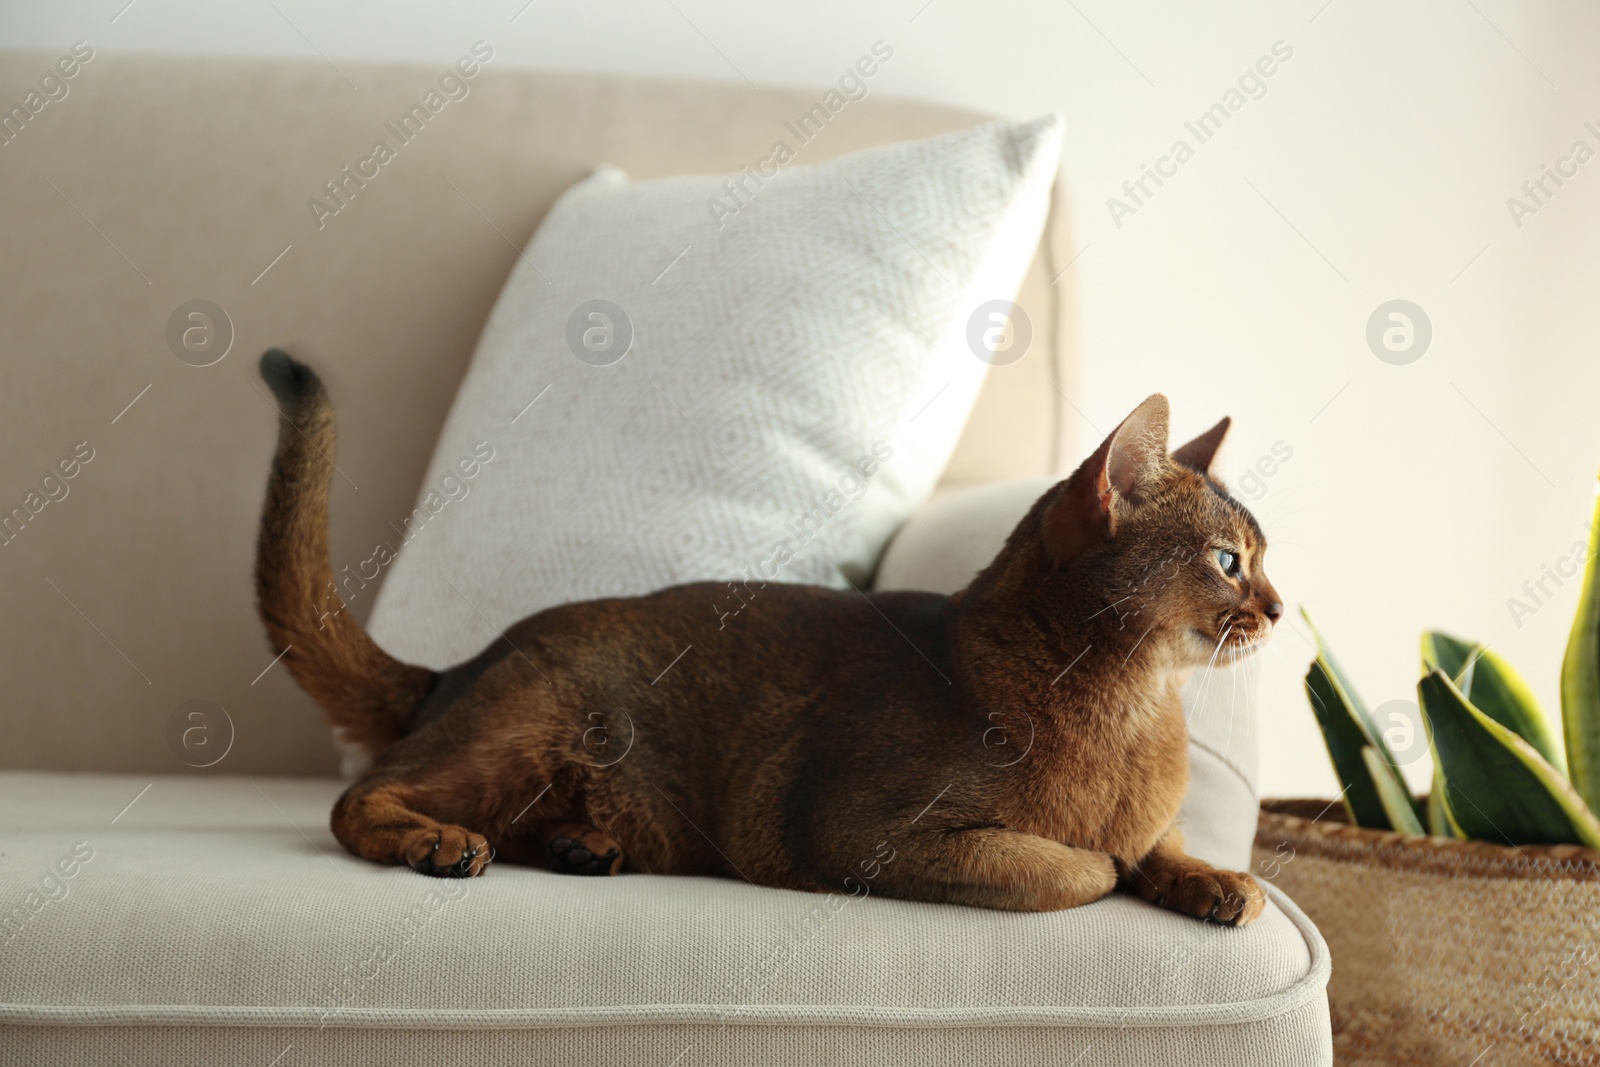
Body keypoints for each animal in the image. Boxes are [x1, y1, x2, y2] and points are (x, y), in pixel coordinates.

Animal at [259, 350, 1286, 927]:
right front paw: (1110, 861)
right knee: (356, 799)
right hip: (525, 724)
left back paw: (583, 845)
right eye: (1228, 561)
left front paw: (1215, 879)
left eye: (1263, 559)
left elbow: (1162, 846)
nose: (1280, 608)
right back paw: (439, 841)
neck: (1134, 702)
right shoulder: (862, 831)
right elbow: (1079, 868)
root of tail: (460, 662)